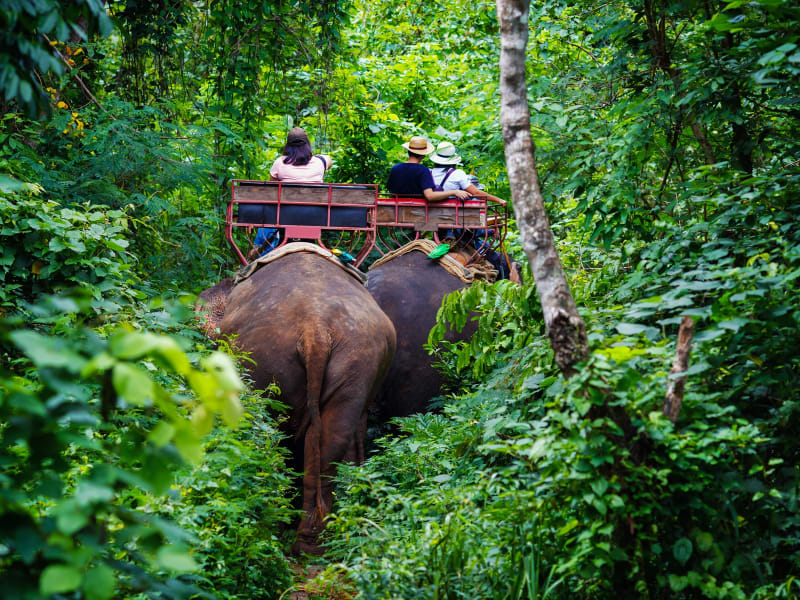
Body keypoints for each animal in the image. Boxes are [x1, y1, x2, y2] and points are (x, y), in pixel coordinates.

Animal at [198, 248, 396, 552]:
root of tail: (317, 328)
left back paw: (282, 527)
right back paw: (312, 541)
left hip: (266, 357)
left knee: (273, 432)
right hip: (357, 358)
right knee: (332, 436)